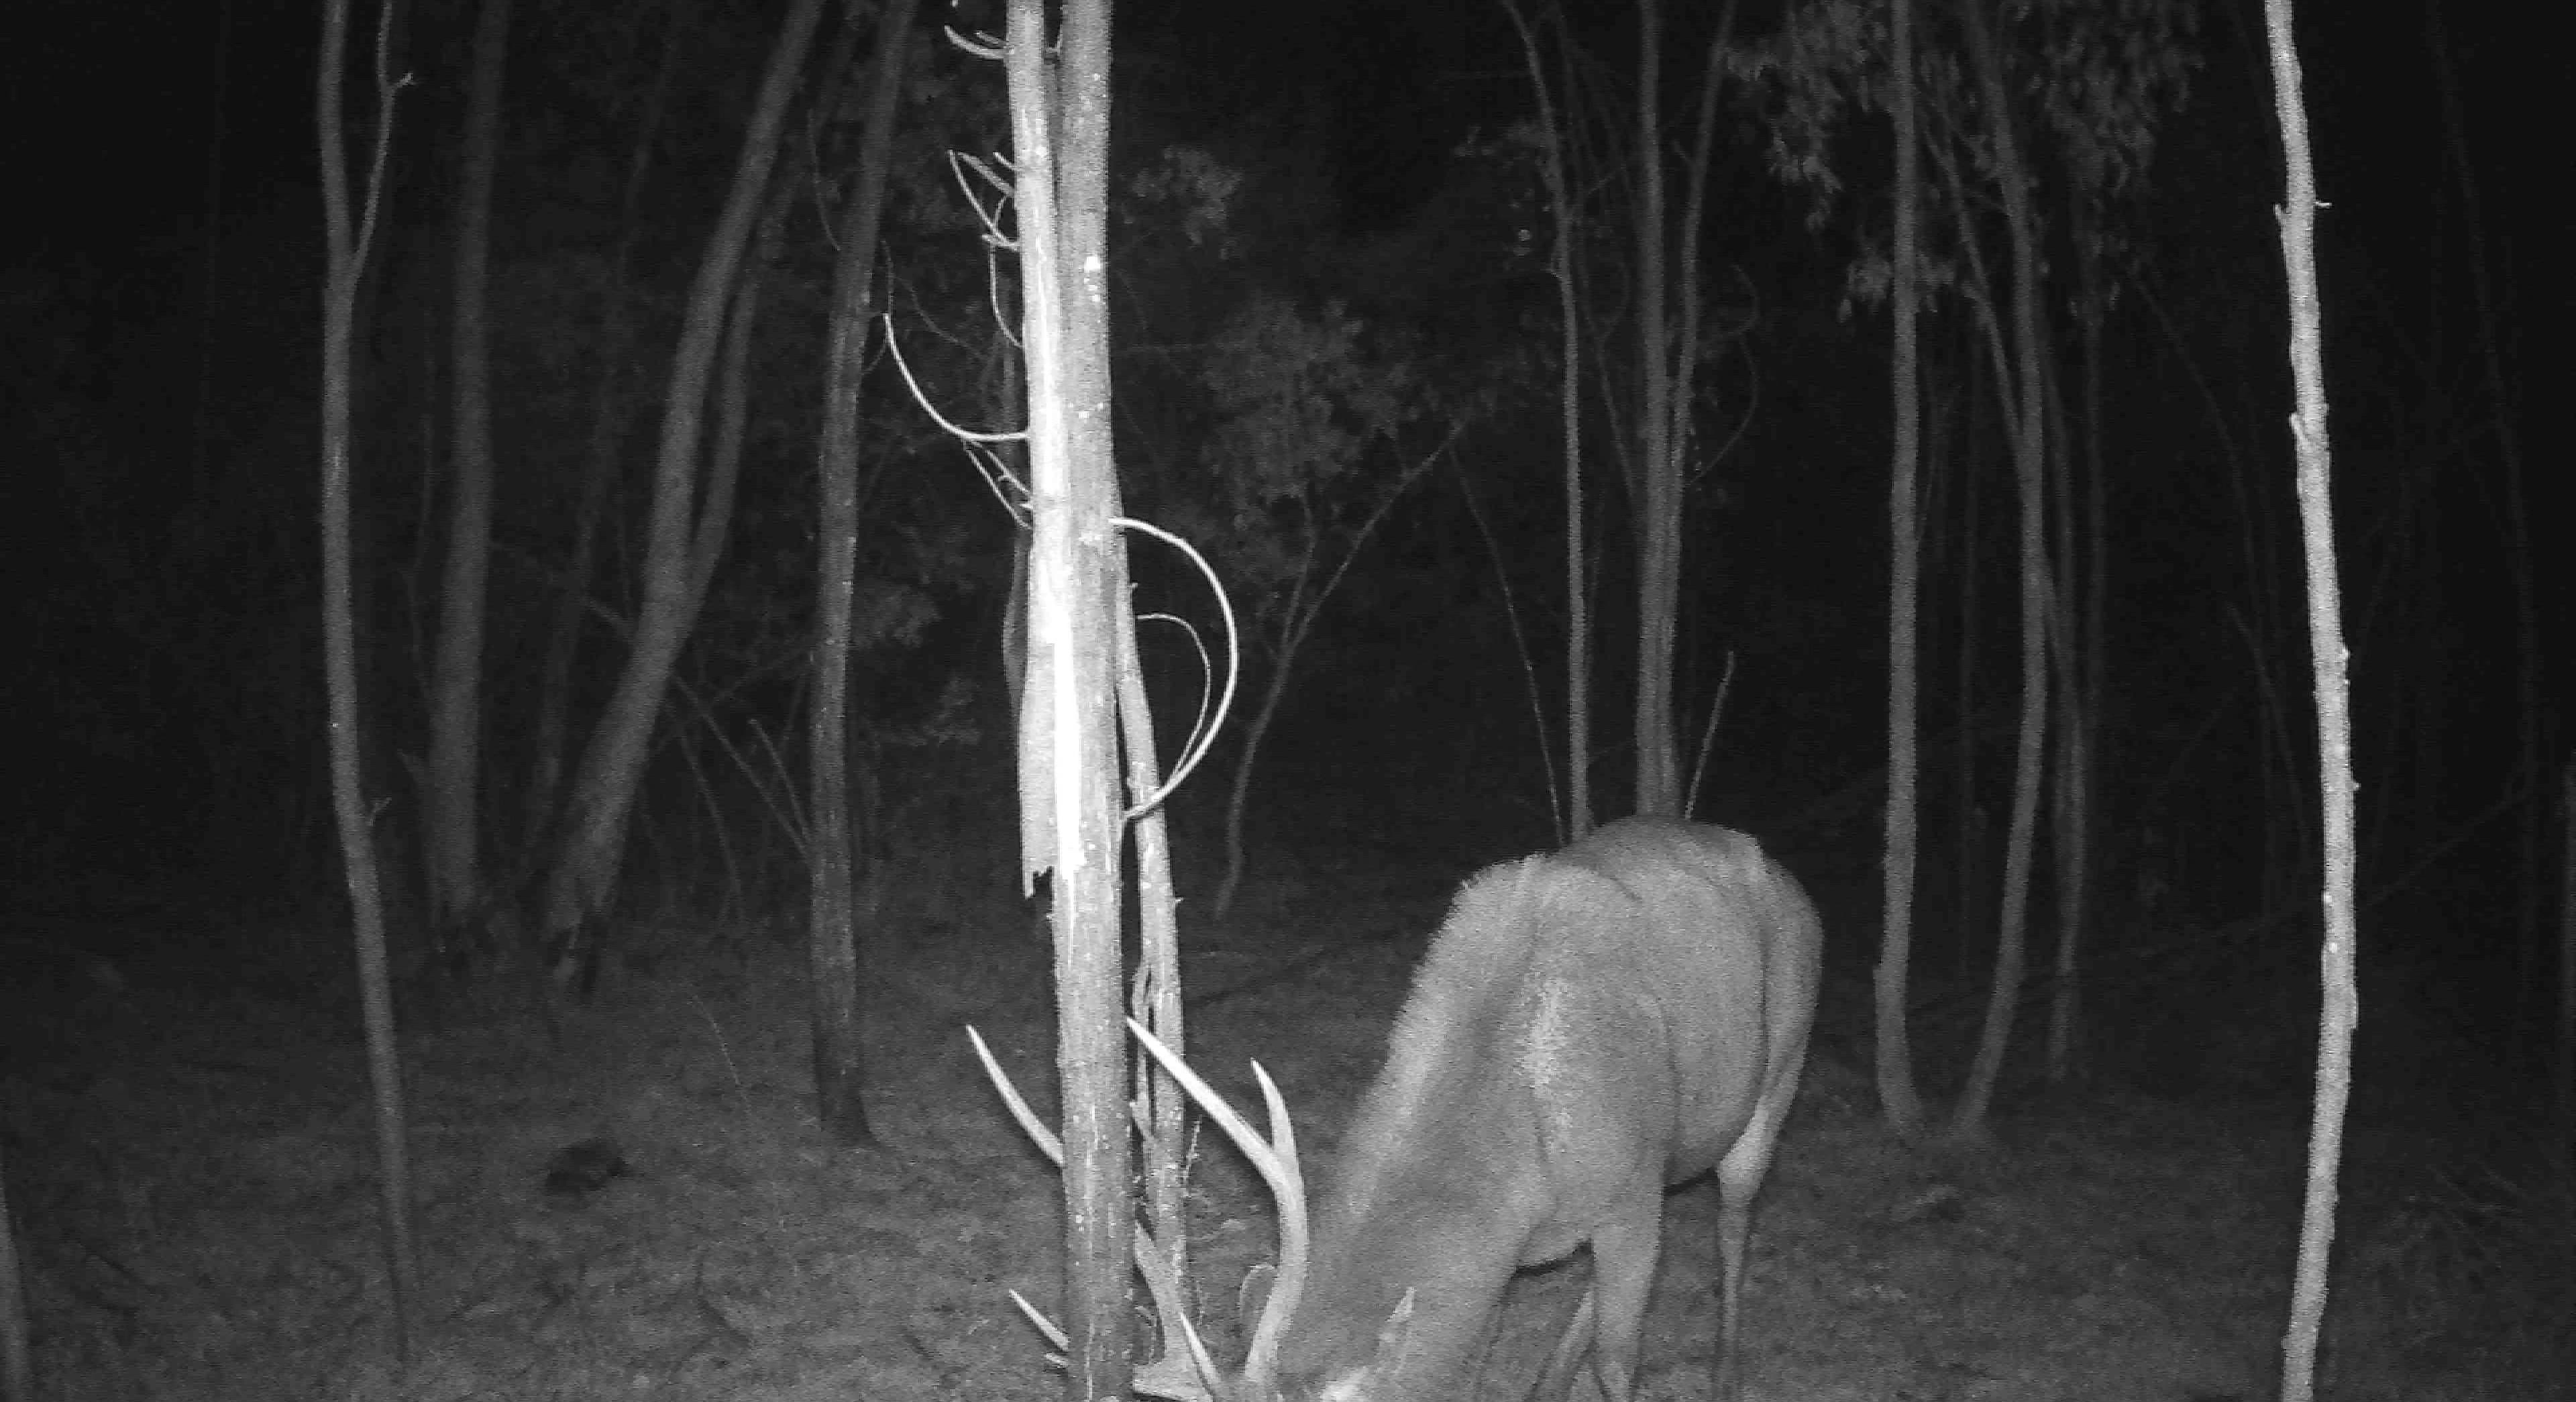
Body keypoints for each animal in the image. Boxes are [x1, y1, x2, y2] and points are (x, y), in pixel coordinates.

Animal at [1113, 817, 1824, 1402]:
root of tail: (1794, 885)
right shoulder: (1509, 1255)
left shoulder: (1629, 1193)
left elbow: (1618, 1362)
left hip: (1782, 1065)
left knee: (1734, 1216)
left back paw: (1726, 1373)